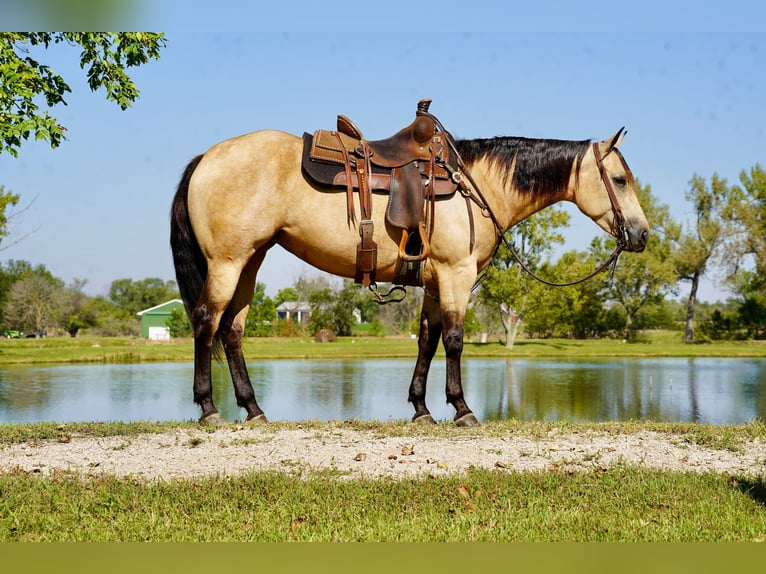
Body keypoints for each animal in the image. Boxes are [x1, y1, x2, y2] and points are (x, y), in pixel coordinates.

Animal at [170, 109, 649, 427]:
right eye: (619, 180)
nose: (642, 235)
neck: (475, 184)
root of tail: (205, 158)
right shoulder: (456, 275)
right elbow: (454, 341)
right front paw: (462, 409)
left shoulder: (436, 282)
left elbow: (427, 342)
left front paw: (421, 409)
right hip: (228, 262)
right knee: (206, 321)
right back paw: (209, 409)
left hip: (250, 261)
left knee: (232, 330)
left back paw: (253, 409)